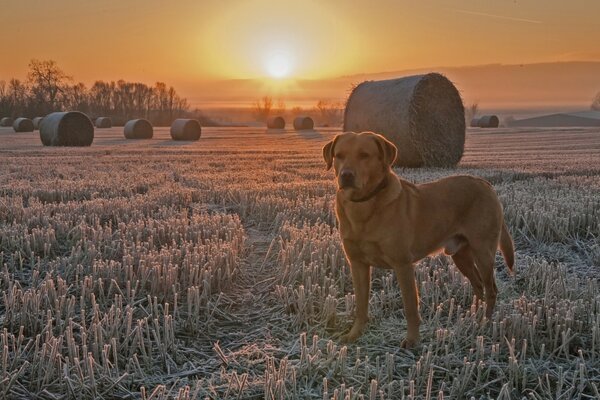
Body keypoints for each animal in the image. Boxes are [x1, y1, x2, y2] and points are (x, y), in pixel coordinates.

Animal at [324, 131, 516, 346]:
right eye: (339, 155)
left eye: (364, 155)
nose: (346, 175)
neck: (364, 206)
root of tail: (485, 183)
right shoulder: (357, 264)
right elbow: (360, 304)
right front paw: (355, 333)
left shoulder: (403, 264)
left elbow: (410, 306)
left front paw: (412, 340)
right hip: (461, 256)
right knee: (478, 285)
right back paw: (473, 319)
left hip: (483, 252)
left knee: (491, 289)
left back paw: (485, 323)